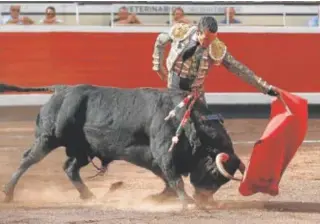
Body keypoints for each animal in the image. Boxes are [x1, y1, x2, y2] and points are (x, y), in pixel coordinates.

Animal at [0, 84, 245, 208]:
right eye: (214, 174)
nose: (207, 201)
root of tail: (60, 90)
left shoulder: (154, 158)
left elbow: (167, 180)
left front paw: (159, 198)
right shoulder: (163, 152)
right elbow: (174, 179)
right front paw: (189, 202)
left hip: (83, 149)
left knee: (70, 168)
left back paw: (88, 196)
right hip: (48, 138)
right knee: (28, 160)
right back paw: (9, 194)